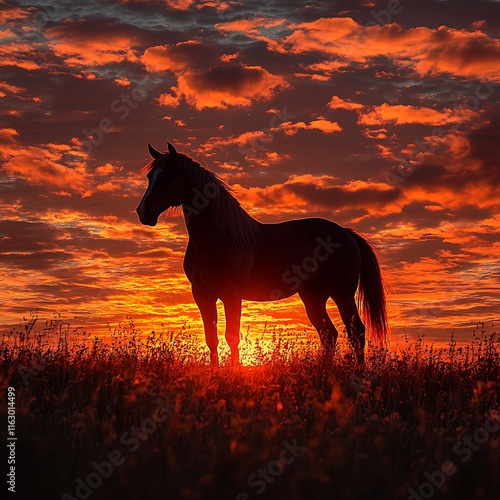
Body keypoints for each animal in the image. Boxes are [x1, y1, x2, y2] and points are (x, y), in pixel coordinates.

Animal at [136, 143, 386, 366]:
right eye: (150, 177)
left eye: (170, 176)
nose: (143, 212)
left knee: (356, 332)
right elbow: (211, 339)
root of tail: (346, 233)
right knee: (329, 333)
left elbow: (231, 337)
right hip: (314, 296)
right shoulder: (202, 294)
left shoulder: (231, 294)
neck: (218, 237)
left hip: (342, 294)